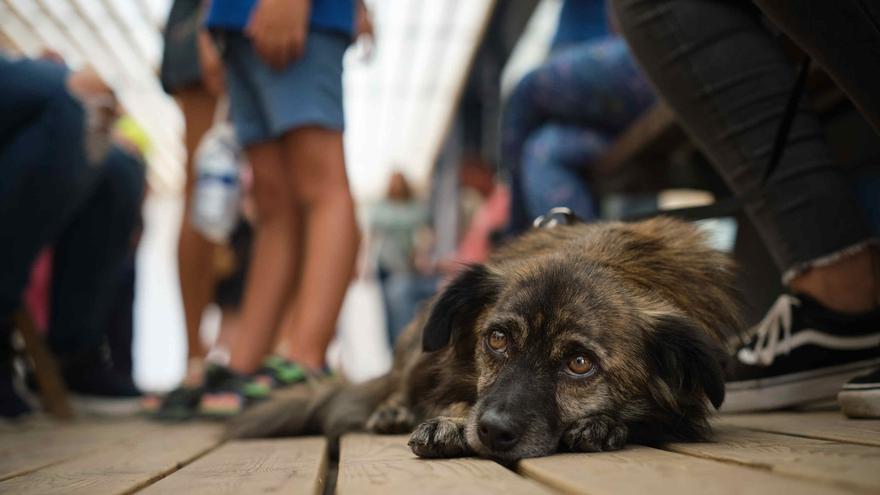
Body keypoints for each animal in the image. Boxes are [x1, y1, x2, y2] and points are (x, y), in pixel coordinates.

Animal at [229, 219, 744, 464]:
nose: (493, 430)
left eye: (580, 363)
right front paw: (451, 422)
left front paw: (602, 425)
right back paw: (395, 410)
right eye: (497, 339)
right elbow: (456, 396)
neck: (608, 257)